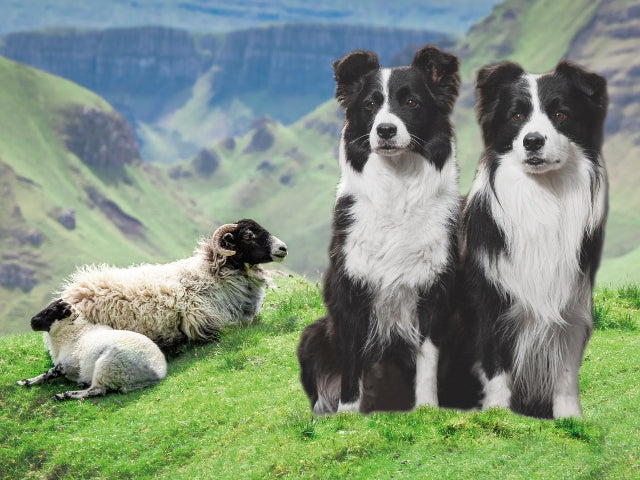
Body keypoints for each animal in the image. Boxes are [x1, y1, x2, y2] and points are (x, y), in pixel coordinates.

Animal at [16, 299, 167, 400]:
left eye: (51, 311)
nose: (32, 321)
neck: (73, 332)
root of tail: (158, 372)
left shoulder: (65, 365)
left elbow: (47, 374)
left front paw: (24, 382)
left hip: (107, 367)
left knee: (97, 391)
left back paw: (65, 395)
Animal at [31, 219, 288, 353]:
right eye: (248, 235)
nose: (283, 248)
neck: (214, 275)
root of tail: (72, 290)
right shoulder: (204, 321)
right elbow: (236, 326)